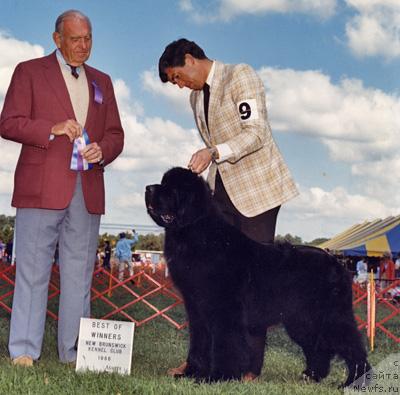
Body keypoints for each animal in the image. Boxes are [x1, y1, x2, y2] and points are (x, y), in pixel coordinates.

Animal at [145, 167, 370, 386]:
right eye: (163, 183)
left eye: (172, 188)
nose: (148, 188)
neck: (196, 233)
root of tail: (338, 264)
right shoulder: (197, 310)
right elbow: (199, 343)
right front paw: (191, 373)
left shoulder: (224, 310)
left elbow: (225, 344)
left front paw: (217, 377)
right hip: (302, 319)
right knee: (318, 347)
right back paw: (311, 376)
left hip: (329, 316)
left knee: (352, 345)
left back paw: (354, 382)